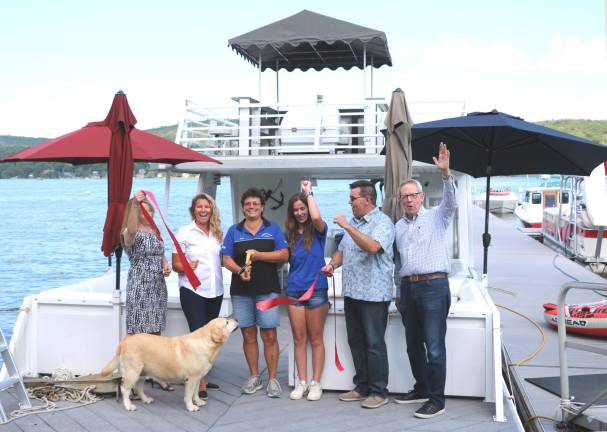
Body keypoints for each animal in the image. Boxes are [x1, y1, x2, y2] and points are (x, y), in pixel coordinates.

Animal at [101, 318, 239, 412]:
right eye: (227, 322)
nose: (237, 319)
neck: (206, 343)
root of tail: (124, 341)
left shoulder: (198, 378)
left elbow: (196, 392)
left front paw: (198, 401)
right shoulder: (191, 378)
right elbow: (189, 394)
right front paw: (191, 406)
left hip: (142, 373)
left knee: (139, 388)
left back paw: (146, 399)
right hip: (133, 372)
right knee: (125, 388)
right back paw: (129, 405)